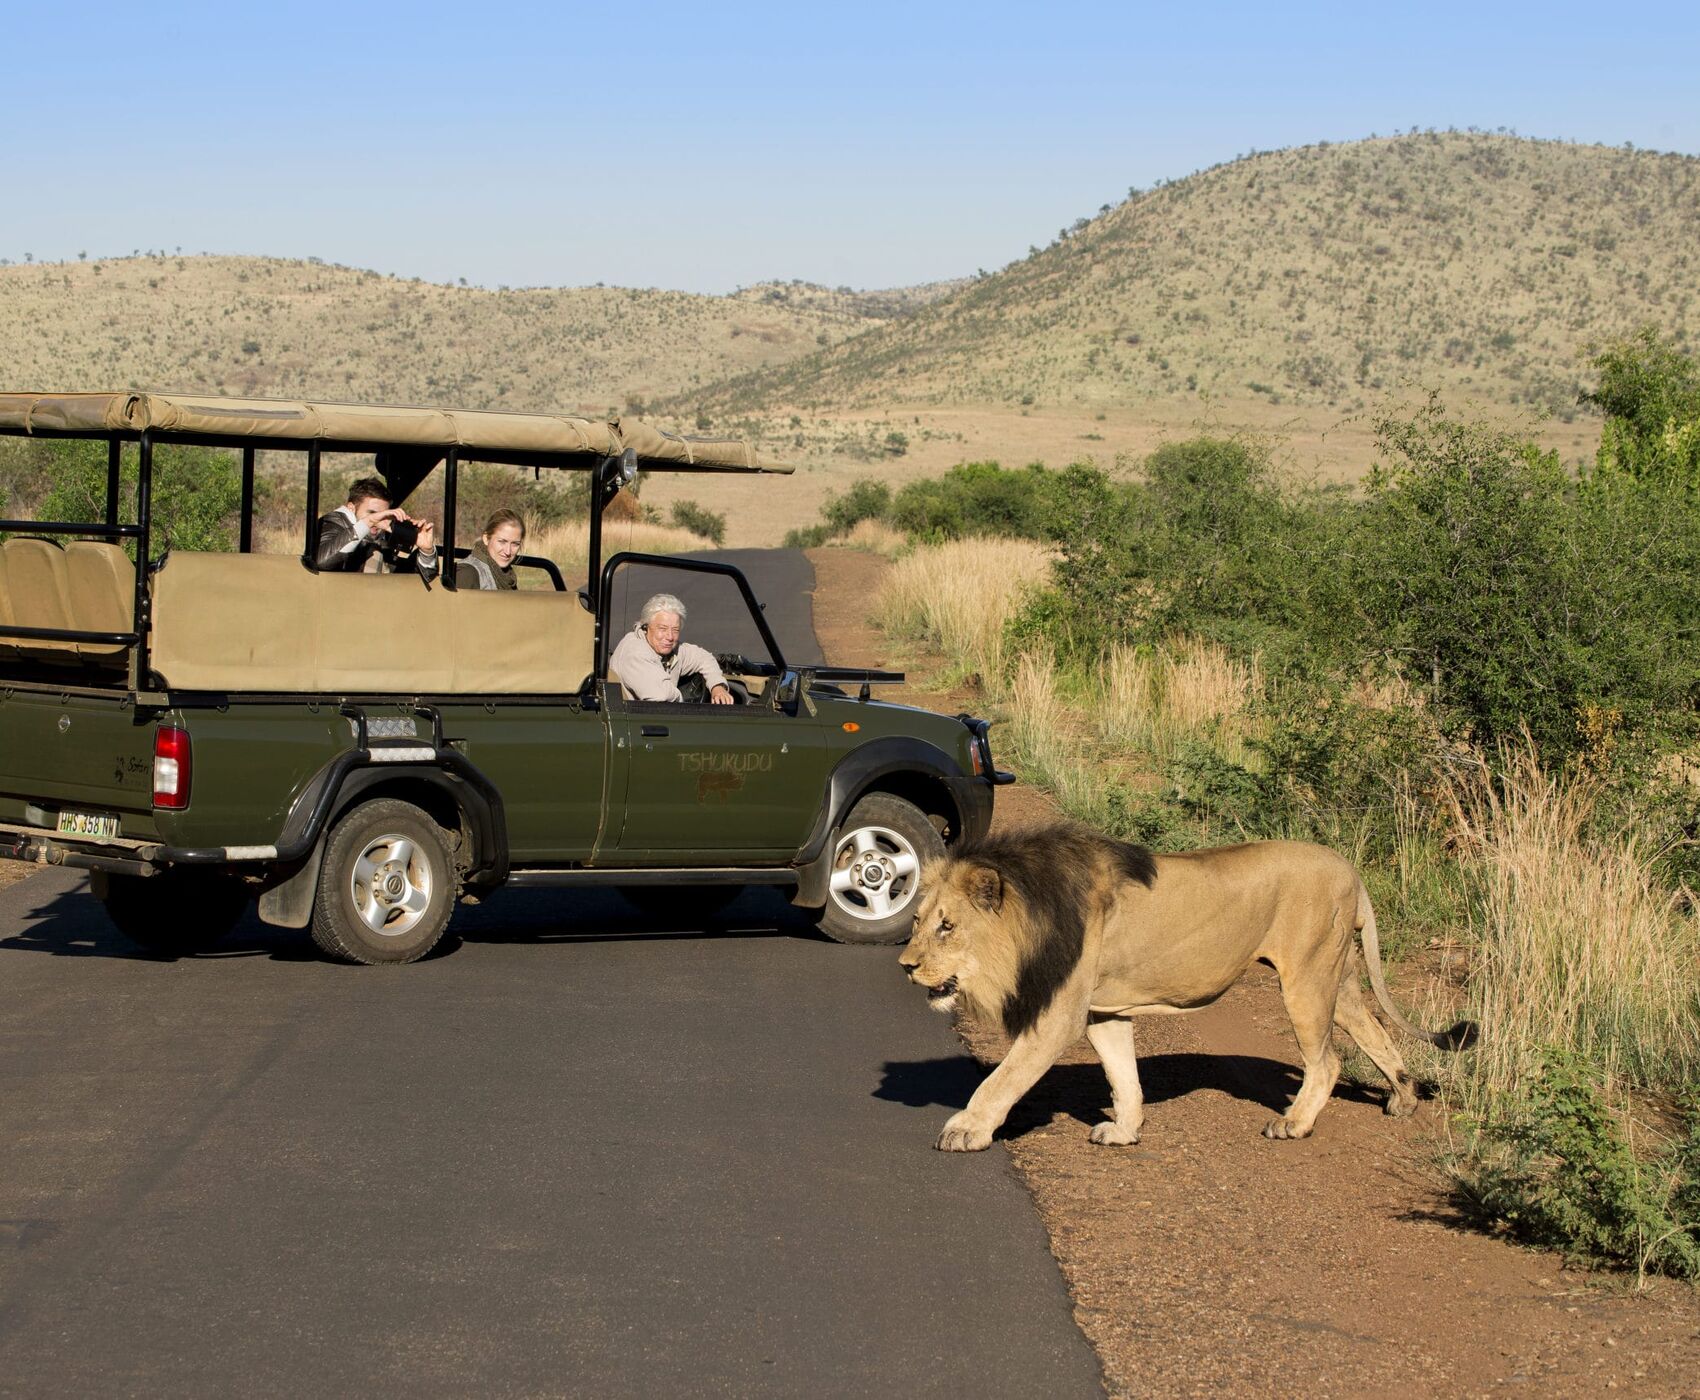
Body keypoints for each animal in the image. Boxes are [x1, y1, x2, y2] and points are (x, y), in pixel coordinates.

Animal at [904, 818, 1475, 1148]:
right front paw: (1126, 1131)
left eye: (947, 926)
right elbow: (1123, 1076)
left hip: (1306, 979)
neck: (1034, 910)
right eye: (917, 920)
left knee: (1328, 1061)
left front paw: (966, 1129)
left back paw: (1294, 1124)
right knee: (1374, 1031)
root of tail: (1350, 869)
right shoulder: (1102, 1011)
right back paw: (1403, 1099)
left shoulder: (1058, 1016)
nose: (906, 966)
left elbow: (1001, 1079)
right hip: (1338, 977)